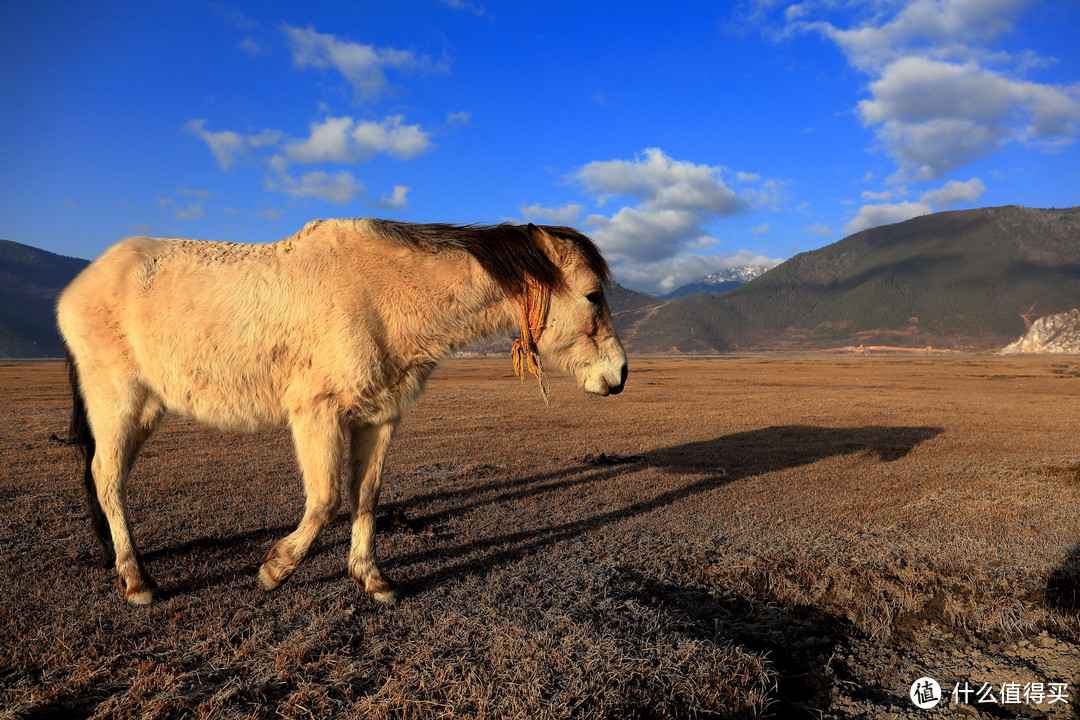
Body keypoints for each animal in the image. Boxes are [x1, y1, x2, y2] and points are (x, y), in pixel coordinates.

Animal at [59, 218, 630, 604]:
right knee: (106, 477)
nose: (620, 375)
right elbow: (326, 499)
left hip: (144, 409)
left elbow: (365, 496)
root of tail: (81, 285)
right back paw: (136, 580)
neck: (380, 293)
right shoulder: (318, 416)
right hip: (119, 403)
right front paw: (274, 571)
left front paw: (370, 578)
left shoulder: (378, 417)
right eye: (592, 295)